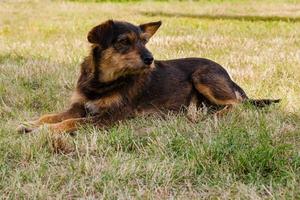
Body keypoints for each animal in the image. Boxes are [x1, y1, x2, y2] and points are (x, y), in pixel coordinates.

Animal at [17, 19, 278, 134]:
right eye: (124, 42)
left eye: (144, 41)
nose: (150, 59)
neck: (102, 82)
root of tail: (228, 75)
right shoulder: (79, 106)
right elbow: (51, 115)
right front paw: (30, 124)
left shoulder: (110, 117)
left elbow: (70, 123)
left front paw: (44, 131)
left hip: (203, 76)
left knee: (237, 104)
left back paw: (211, 117)